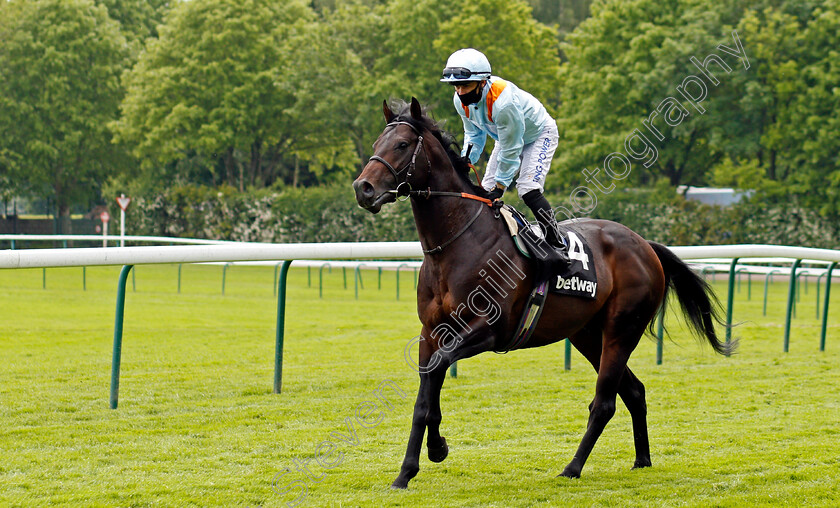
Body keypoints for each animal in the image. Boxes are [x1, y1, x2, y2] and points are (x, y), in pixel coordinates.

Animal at [352, 97, 732, 490]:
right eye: (377, 143)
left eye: (402, 145)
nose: (363, 188)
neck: (455, 245)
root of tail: (645, 245)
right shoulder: (432, 332)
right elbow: (425, 396)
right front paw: (413, 465)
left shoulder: (490, 330)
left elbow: (437, 373)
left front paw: (431, 450)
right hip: (587, 335)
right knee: (634, 390)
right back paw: (642, 459)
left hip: (622, 330)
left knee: (605, 402)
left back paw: (573, 467)